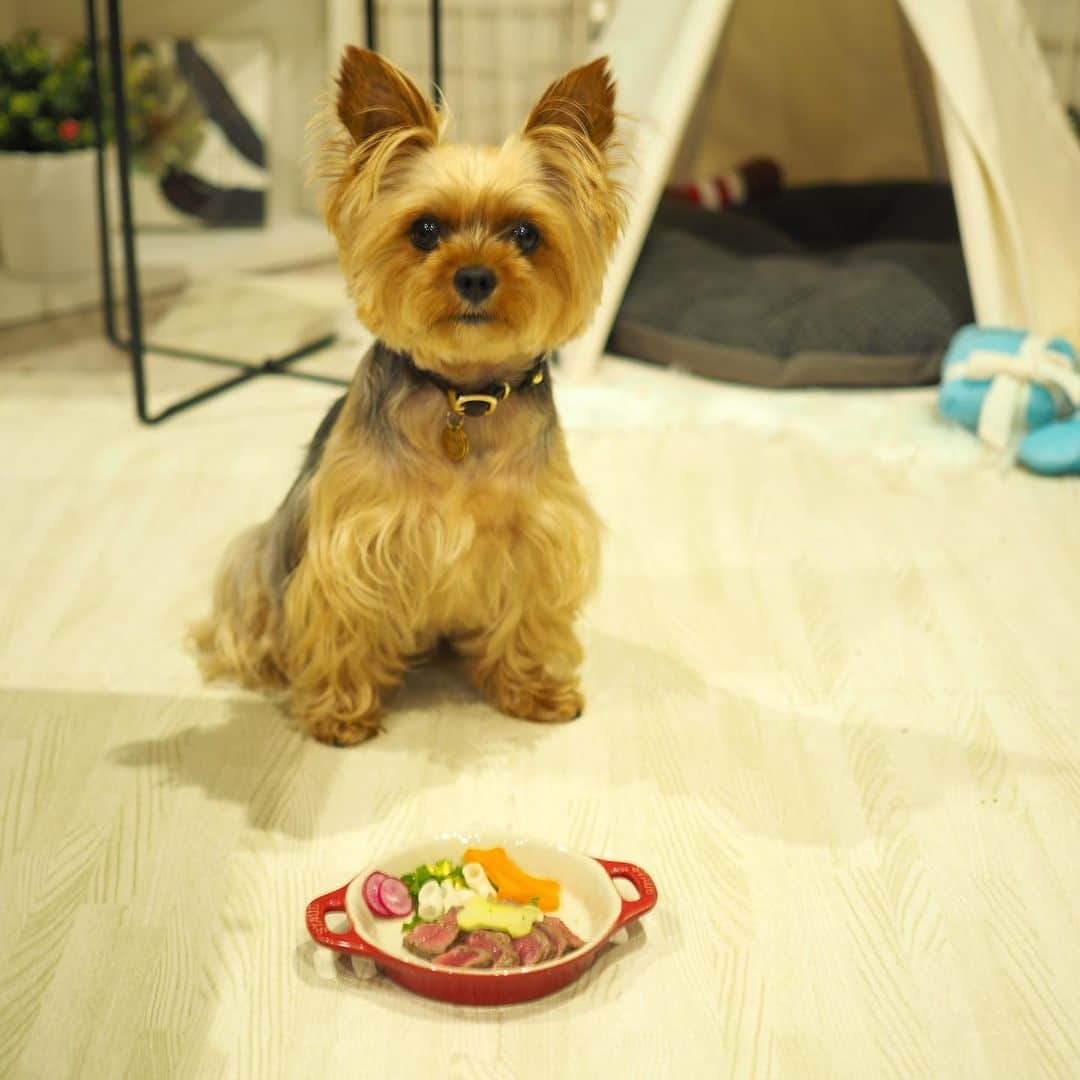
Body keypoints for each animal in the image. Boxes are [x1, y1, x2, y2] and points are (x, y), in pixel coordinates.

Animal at [194, 48, 626, 743]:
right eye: (424, 230)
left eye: (525, 234)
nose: (474, 276)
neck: (464, 396)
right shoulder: (351, 542)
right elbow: (341, 619)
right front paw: (340, 713)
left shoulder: (537, 535)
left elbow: (528, 615)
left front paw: (533, 689)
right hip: (259, 552)